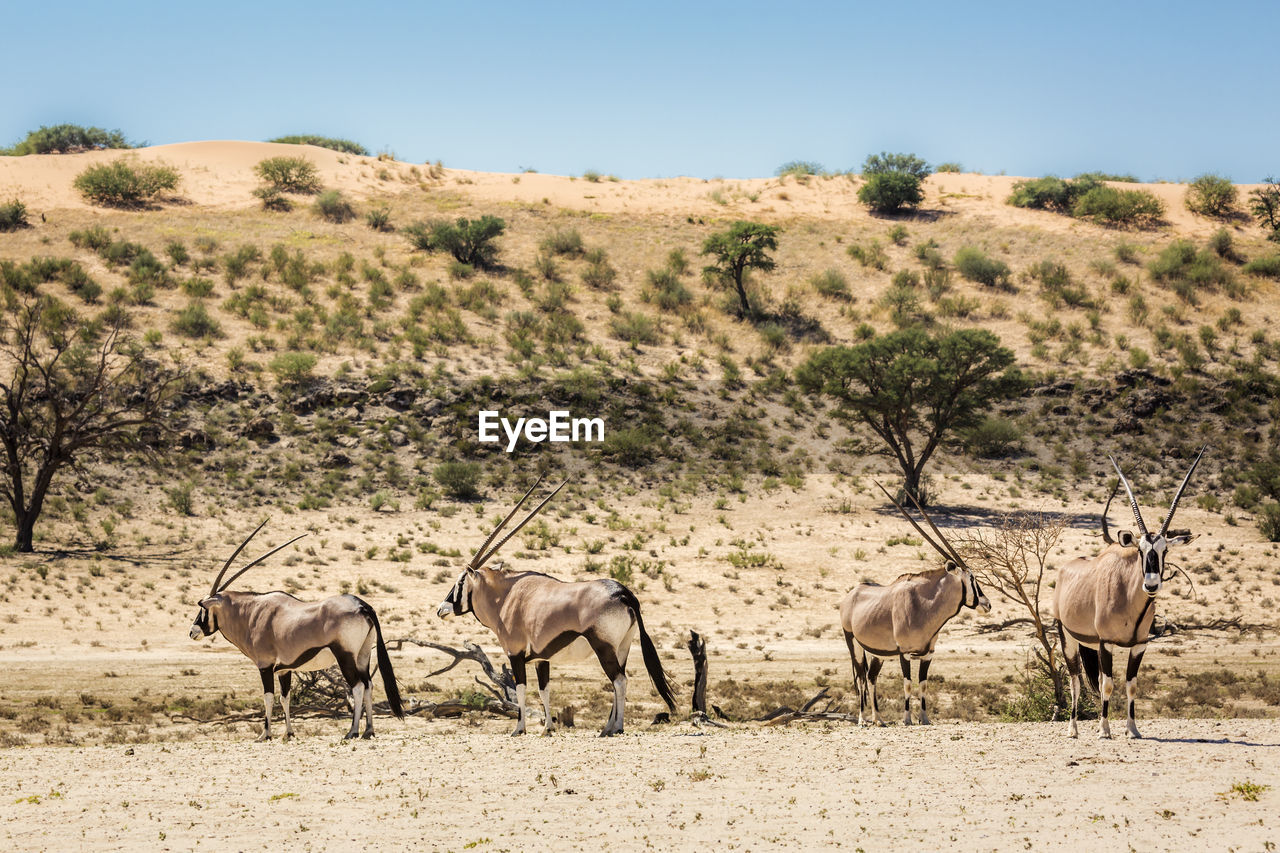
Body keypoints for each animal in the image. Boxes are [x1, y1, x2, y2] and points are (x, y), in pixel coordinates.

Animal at [185, 517, 401, 737]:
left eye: (202, 608)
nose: (192, 631)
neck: (251, 612)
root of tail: (362, 606)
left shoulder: (265, 665)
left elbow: (268, 697)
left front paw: (265, 734)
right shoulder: (284, 669)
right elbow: (285, 698)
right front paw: (288, 734)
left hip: (345, 656)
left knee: (357, 686)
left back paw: (353, 731)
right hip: (363, 655)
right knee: (368, 685)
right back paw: (369, 730)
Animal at [437, 479, 680, 732]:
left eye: (460, 581)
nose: (441, 609)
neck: (506, 597)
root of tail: (623, 593)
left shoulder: (515, 654)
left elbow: (522, 690)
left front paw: (519, 729)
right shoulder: (541, 659)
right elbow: (544, 690)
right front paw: (548, 729)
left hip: (604, 648)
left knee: (619, 681)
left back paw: (616, 727)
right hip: (622, 648)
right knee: (618, 681)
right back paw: (606, 729)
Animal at [839, 484, 988, 722]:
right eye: (972, 578)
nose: (986, 604)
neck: (924, 605)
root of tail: (851, 594)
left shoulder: (928, 654)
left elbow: (924, 684)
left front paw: (924, 719)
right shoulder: (905, 653)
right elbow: (908, 685)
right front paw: (907, 719)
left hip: (877, 653)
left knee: (871, 677)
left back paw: (879, 720)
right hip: (853, 644)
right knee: (861, 677)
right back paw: (862, 720)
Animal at [1054, 448, 1203, 732]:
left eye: (1164, 551)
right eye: (1140, 550)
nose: (1151, 584)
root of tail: (1066, 568)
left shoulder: (1139, 645)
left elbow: (1131, 685)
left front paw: (1132, 729)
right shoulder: (1106, 643)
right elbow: (1108, 684)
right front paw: (1104, 730)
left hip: (1089, 643)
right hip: (1067, 637)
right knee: (1075, 679)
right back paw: (1073, 729)